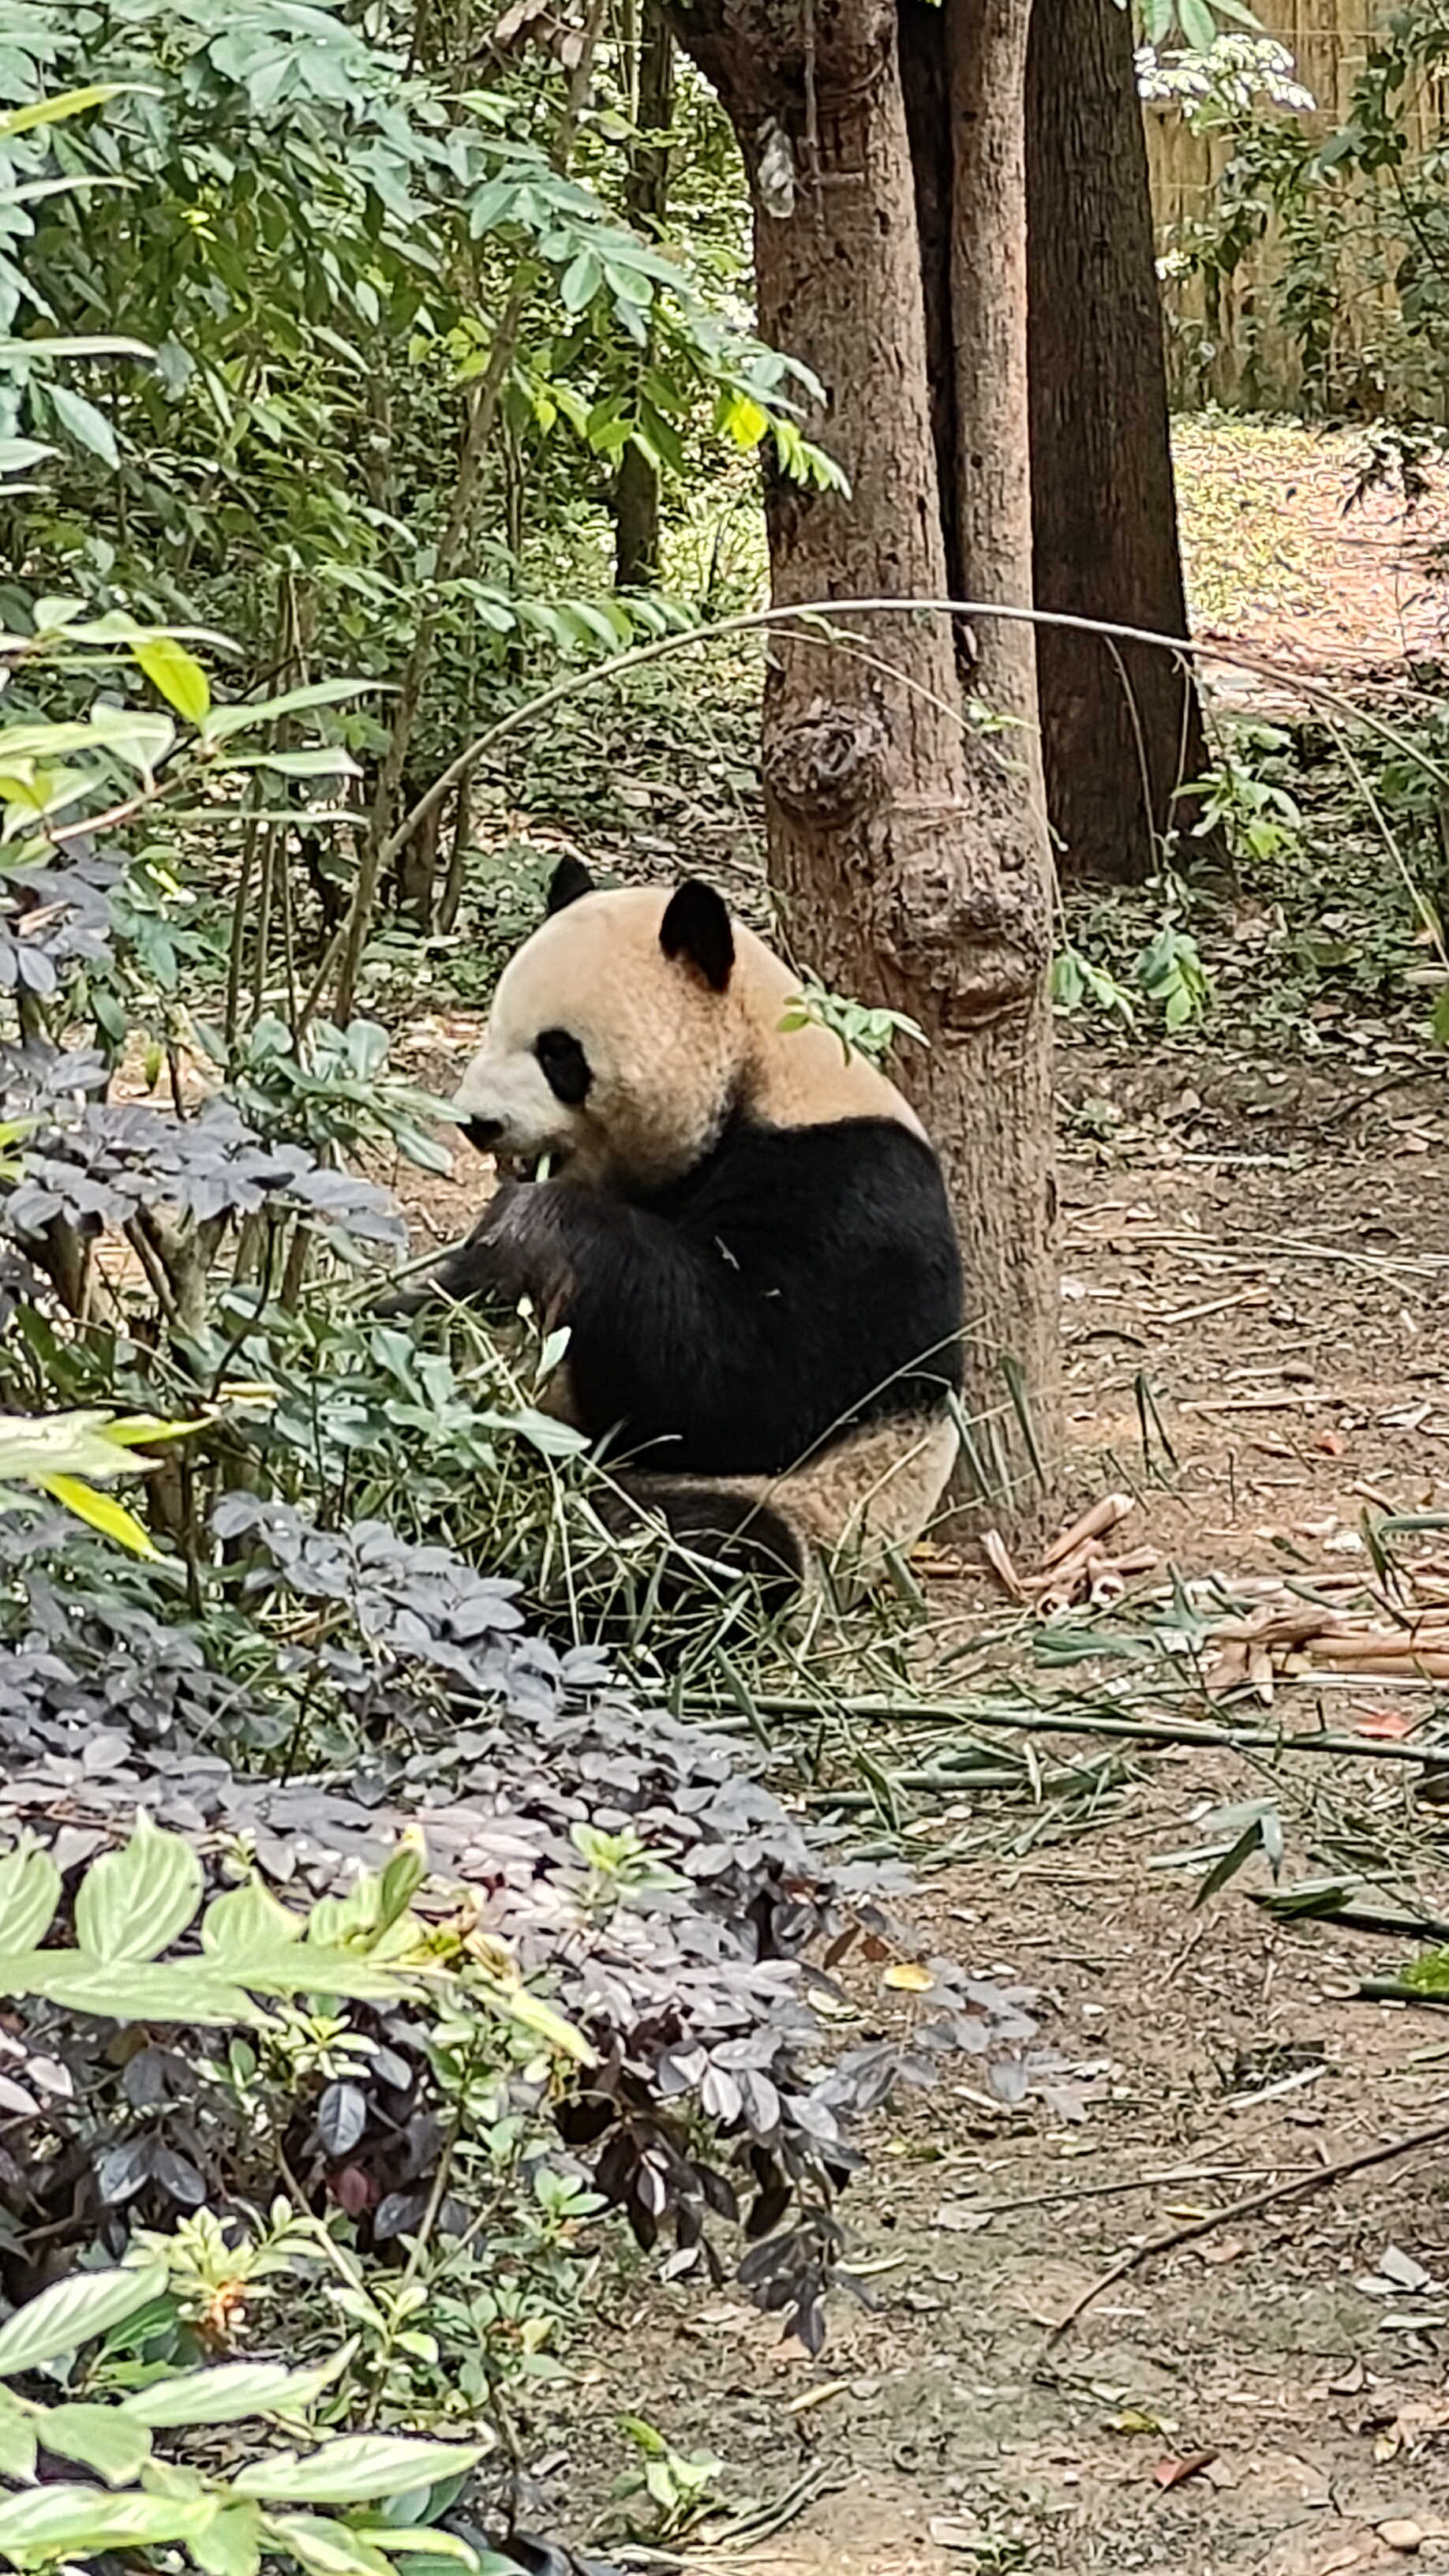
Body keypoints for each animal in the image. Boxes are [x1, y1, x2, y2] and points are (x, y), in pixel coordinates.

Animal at [416, 858, 964, 1602]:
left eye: (559, 1054)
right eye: (494, 1027)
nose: (478, 1122)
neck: (759, 1072)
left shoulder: (851, 1192)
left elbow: (745, 1384)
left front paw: (532, 1222)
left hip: (809, 1512)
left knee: (708, 1551)